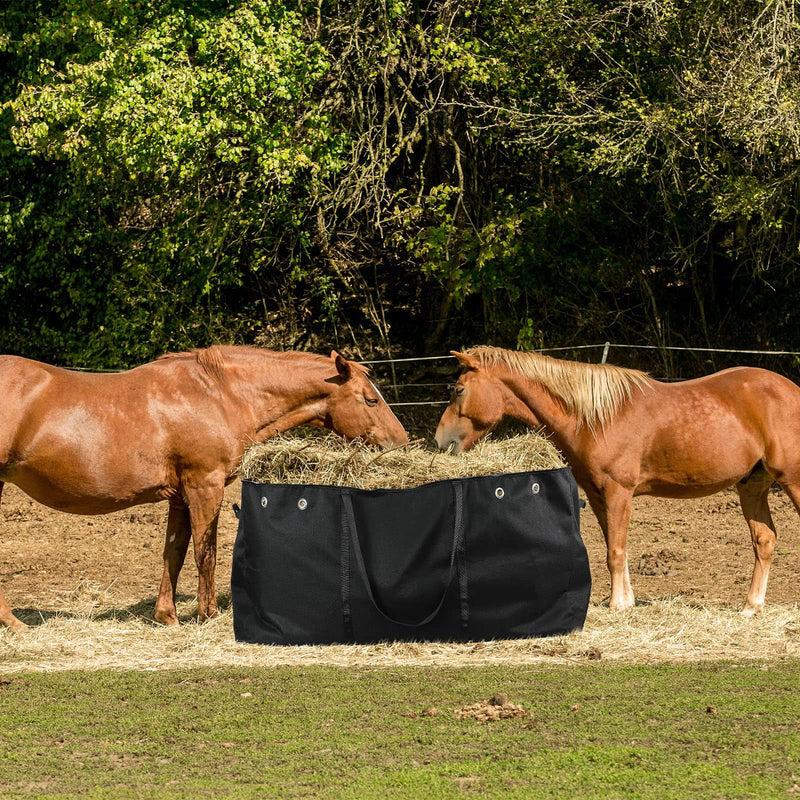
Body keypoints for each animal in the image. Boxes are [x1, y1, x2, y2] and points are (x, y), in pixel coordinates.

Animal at [0, 346, 408, 630]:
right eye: (371, 399)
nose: (402, 443)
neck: (219, 395)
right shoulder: (204, 487)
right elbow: (205, 553)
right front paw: (208, 614)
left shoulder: (180, 497)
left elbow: (174, 553)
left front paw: (167, 616)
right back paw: (14, 624)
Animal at [435, 346, 800, 614]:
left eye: (459, 390)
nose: (440, 441)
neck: (594, 418)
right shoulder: (598, 496)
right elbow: (614, 547)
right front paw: (626, 601)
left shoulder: (618, 492)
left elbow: (616, 551)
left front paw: (617, 605)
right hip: (752, 487)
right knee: (764, 540)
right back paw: (752, 606)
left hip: (791, 481)